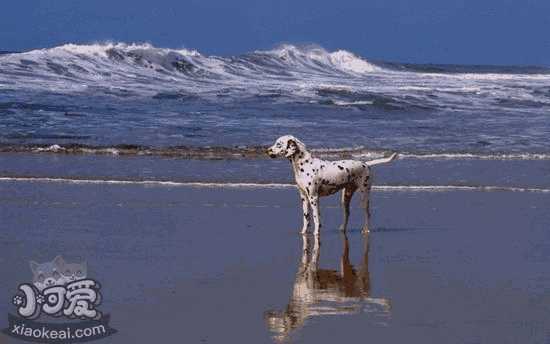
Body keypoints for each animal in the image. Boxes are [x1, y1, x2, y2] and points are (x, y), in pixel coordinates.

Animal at [266, 136, 396, 235]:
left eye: (278, 144)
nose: (267, 150)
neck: (305, 165)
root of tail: (366, 164)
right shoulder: (304, 198)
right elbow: (306, 218)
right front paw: (303, 233)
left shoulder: (313, 198)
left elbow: (316, 218)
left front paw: (316, 233)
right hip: (345, 198)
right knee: (347, 214)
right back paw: (342, 229)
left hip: (364, 196)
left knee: (367, 214)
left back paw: (366, 230)